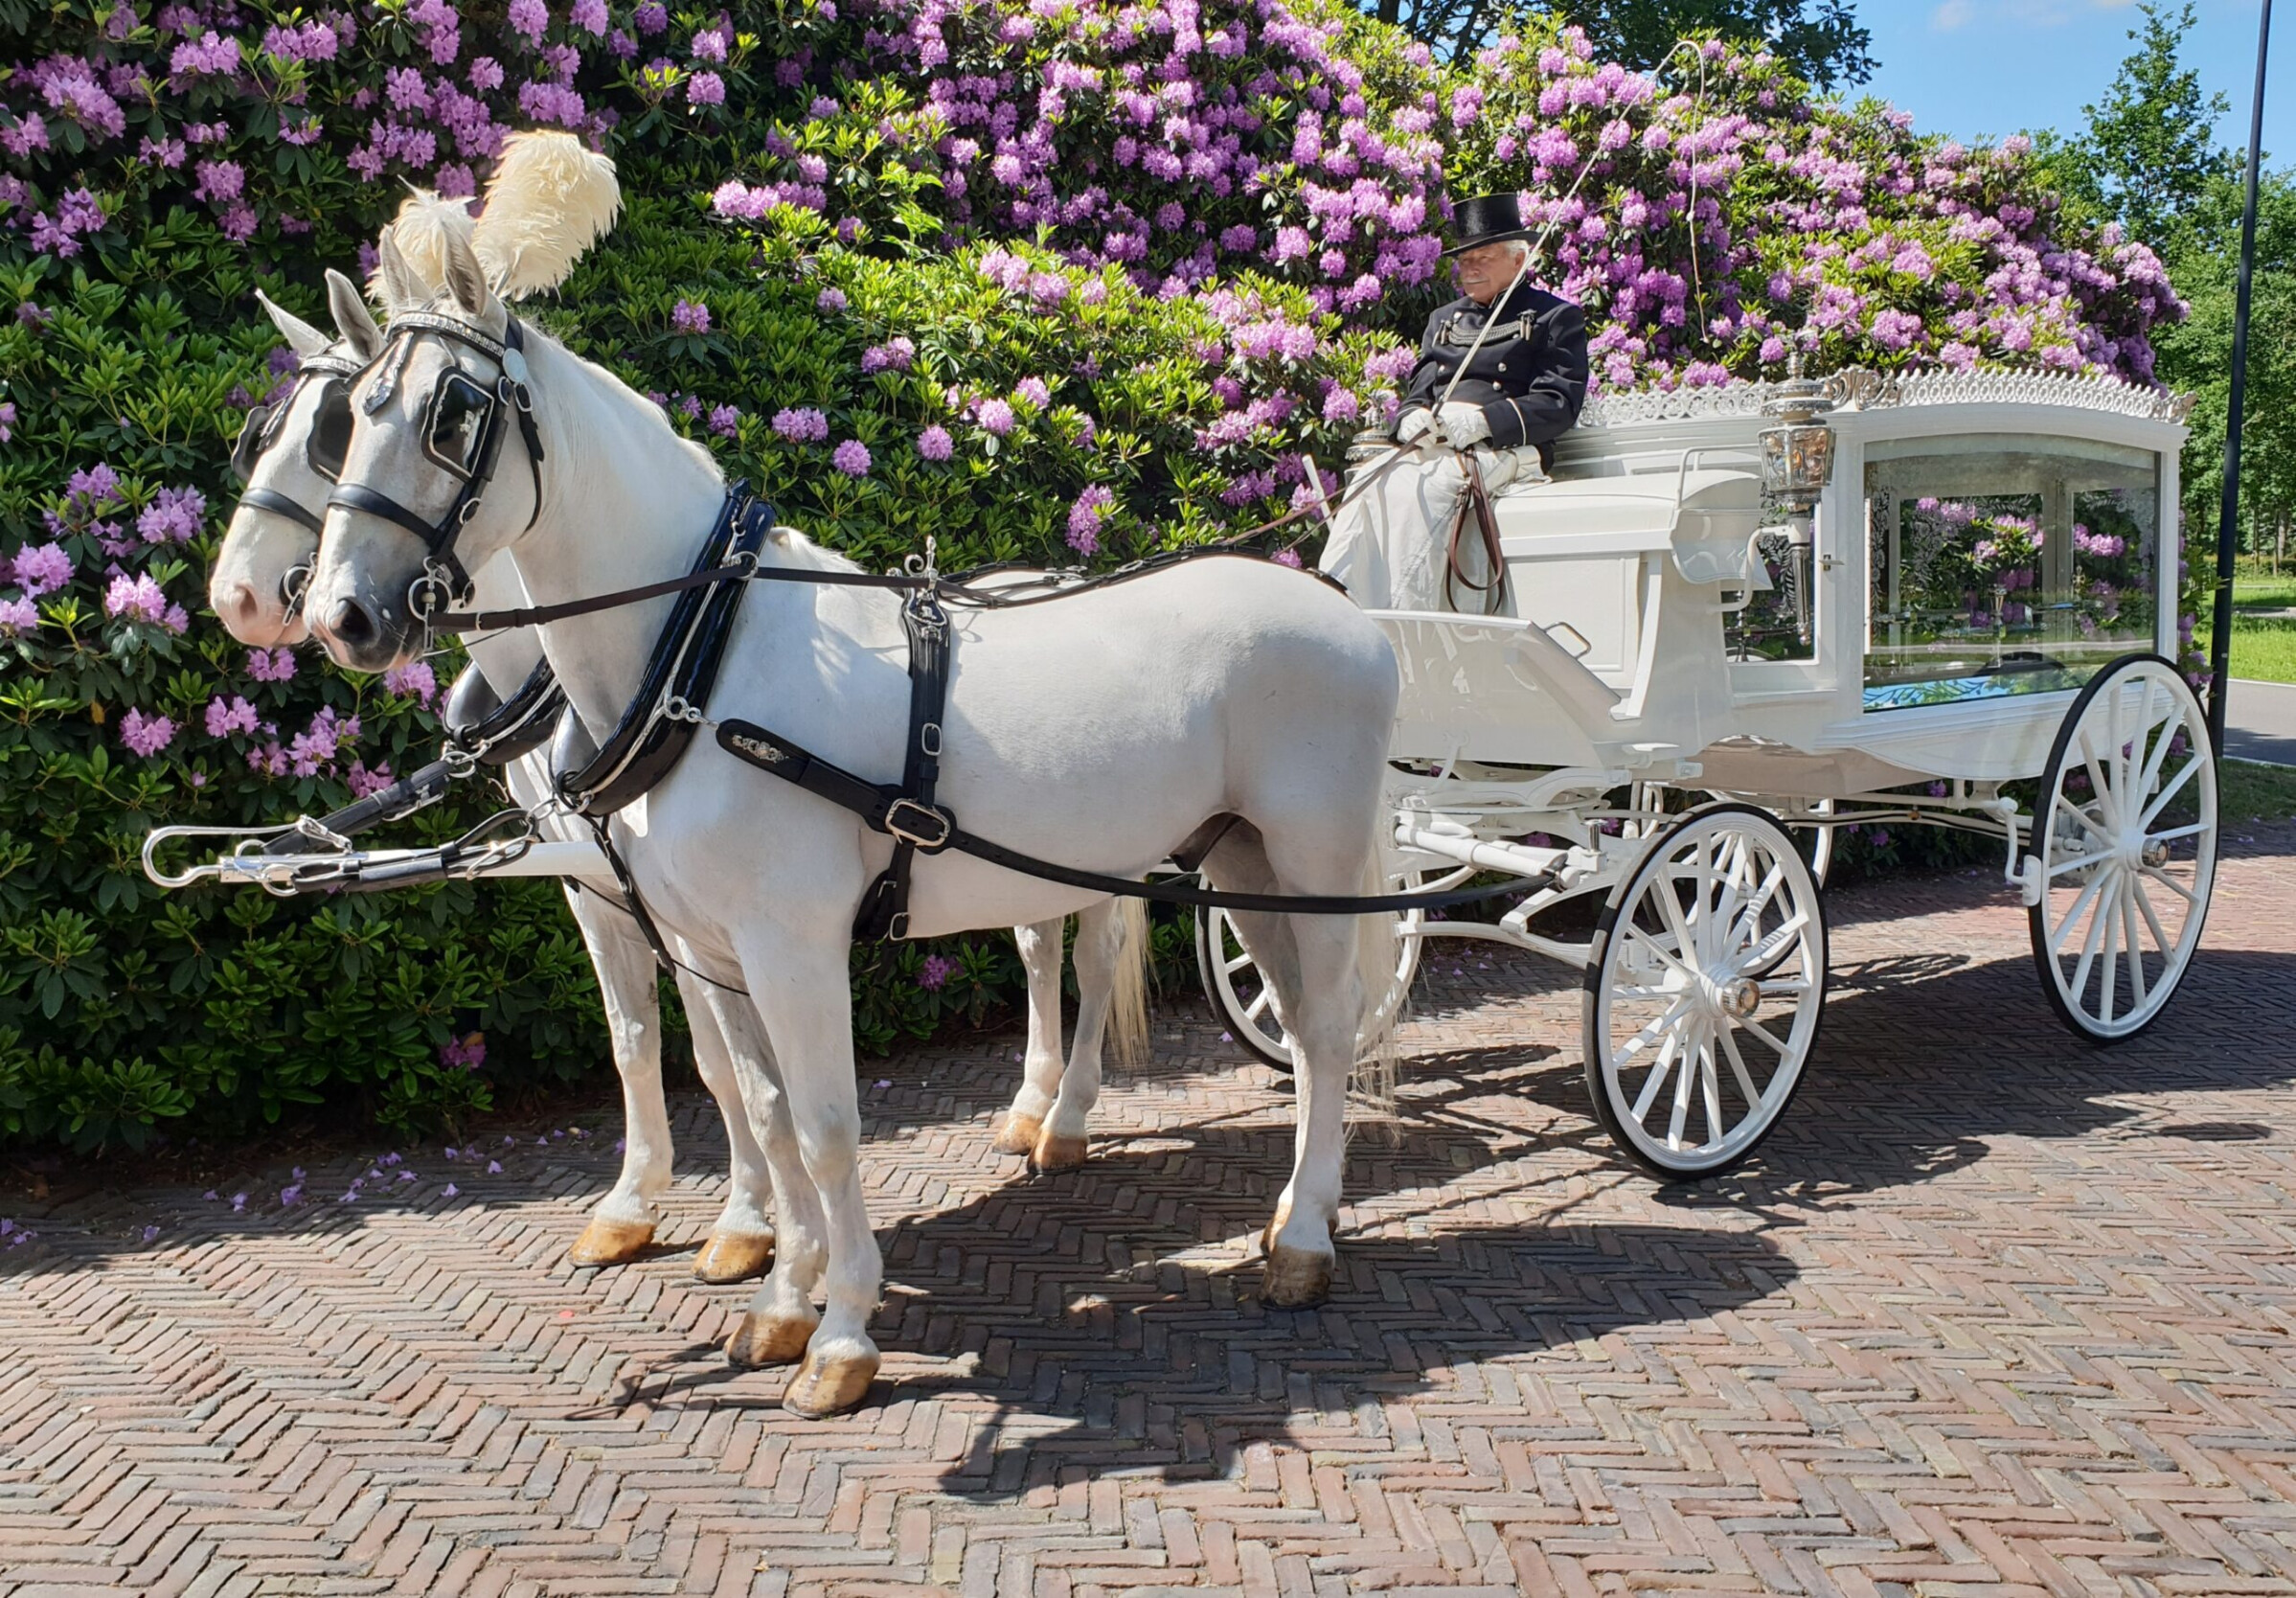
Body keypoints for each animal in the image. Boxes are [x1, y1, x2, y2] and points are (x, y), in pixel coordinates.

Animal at [301, 205, 1396, 1414]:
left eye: (454, 414)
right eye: (348, 420)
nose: (339, 616)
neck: (707, 658)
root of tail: (1340, 602)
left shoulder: (793, 947)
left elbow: (827, 1130)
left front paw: (841, 1337)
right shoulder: (711, 949)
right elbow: (764, 1112)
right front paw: (782, 1301)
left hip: (1312, 859)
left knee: (1327, 1026)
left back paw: (1303, 1241)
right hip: (1242, 863)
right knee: (1298, 1025)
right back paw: (1294, 1216)